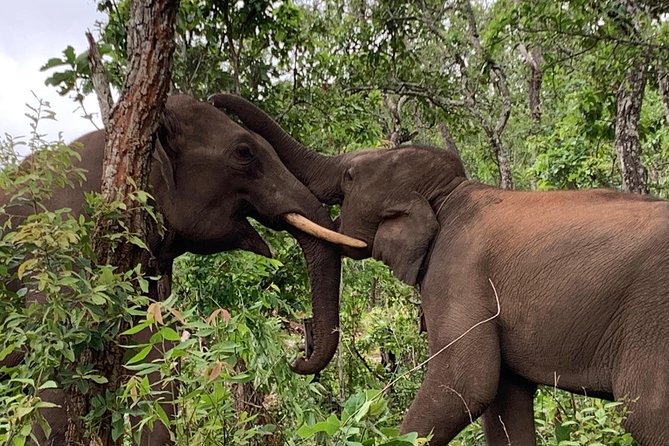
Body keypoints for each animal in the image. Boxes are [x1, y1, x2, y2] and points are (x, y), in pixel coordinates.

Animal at [211, 93, 669, 446]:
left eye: (350, 175)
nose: (296, 361)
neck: (450, 194)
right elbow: (504, 397)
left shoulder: (457, 273)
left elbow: (465, 382)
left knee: (645, 415)